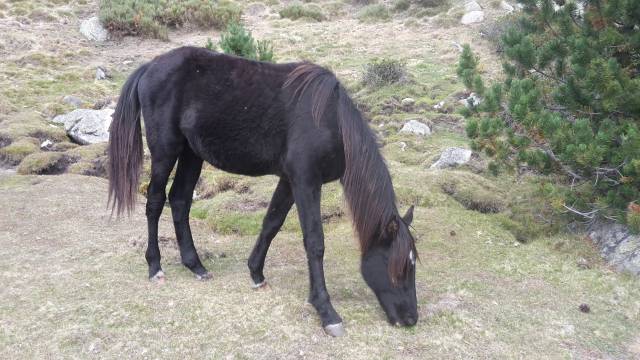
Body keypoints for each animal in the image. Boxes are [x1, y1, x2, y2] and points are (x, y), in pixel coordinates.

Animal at [109, 46, 420, 336]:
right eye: (399, 266)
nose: (411, 319)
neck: (329, 119)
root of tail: (151, 66)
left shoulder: (289, 181)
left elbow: (271, 223)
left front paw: (256, 272)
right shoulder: (306, 181)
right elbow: (314, 242)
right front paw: (326, 311)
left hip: (191, 153)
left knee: (180, 200)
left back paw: (195, 265)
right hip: (166, 150)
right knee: (155, 201)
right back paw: (155, 266)